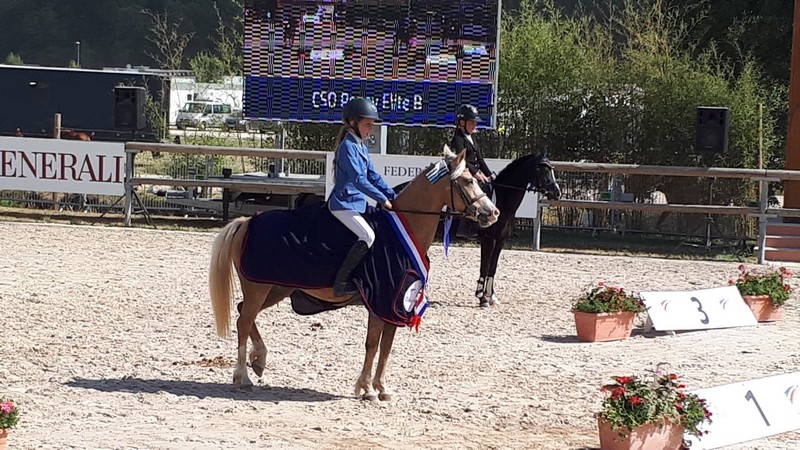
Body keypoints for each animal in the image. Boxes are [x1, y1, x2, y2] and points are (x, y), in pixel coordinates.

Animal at [209, 148, 496, 400]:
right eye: (468, 180)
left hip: (276, 288)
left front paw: (381, 388)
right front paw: (367, 389)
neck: (402, 230)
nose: (493, 213)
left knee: (244, 314)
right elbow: (373, 344)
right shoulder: (380, 301)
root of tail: (247, 221)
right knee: (244, 321)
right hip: (259, 288)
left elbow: (386, 346)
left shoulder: (394, 303)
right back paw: (243, 376)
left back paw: (259, 360)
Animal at [476, 154, 564, 306]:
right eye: (543, 171)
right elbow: (485, 266)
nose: (557, 193)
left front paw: (491, 296)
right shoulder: (488, 239)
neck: (501, 200)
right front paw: (482, 298)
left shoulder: (500, 241)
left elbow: (493, 267)